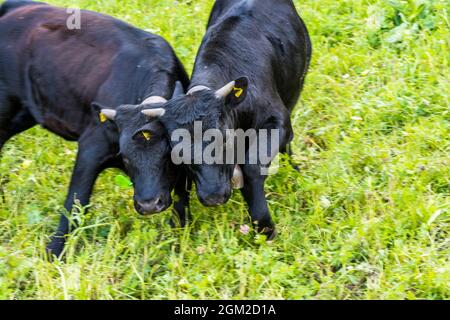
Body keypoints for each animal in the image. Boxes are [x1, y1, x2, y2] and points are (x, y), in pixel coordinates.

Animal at [0, 0, 189, 255]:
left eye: (168, 155)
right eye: (125, 157)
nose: (149, 204)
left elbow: (181, 198)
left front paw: (179, 239)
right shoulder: (91, 149)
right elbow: (75, 202)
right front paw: (53, 253)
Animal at [146, 0, 312, 239]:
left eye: (223, 139)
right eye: (179, 152)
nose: (213, 196)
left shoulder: (277, 120)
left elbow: (253, 165)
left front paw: (264, 226)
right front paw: (178, 225)